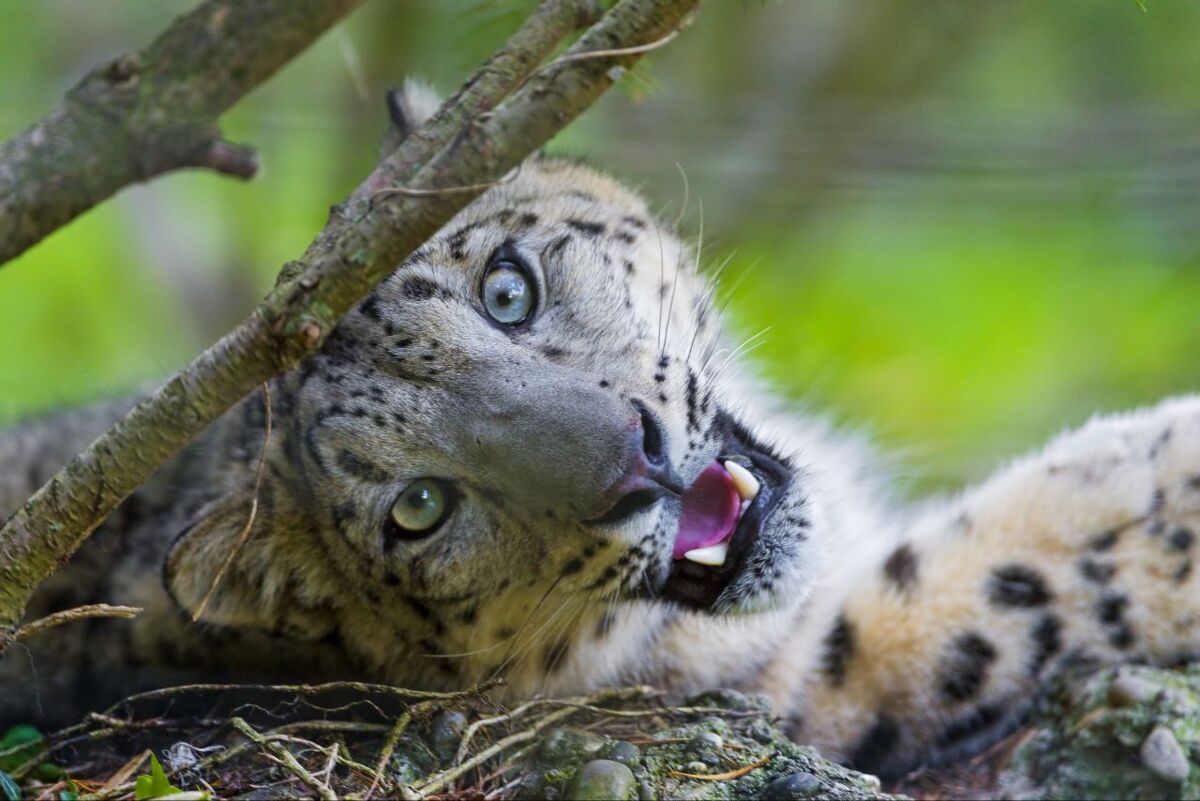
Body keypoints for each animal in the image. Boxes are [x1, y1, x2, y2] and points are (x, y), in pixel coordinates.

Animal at [2, 82, 1200, 782]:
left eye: (507, 289)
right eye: (418, 508)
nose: (637, 463)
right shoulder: (798, 672)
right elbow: (996, 580)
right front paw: (1170, 468)